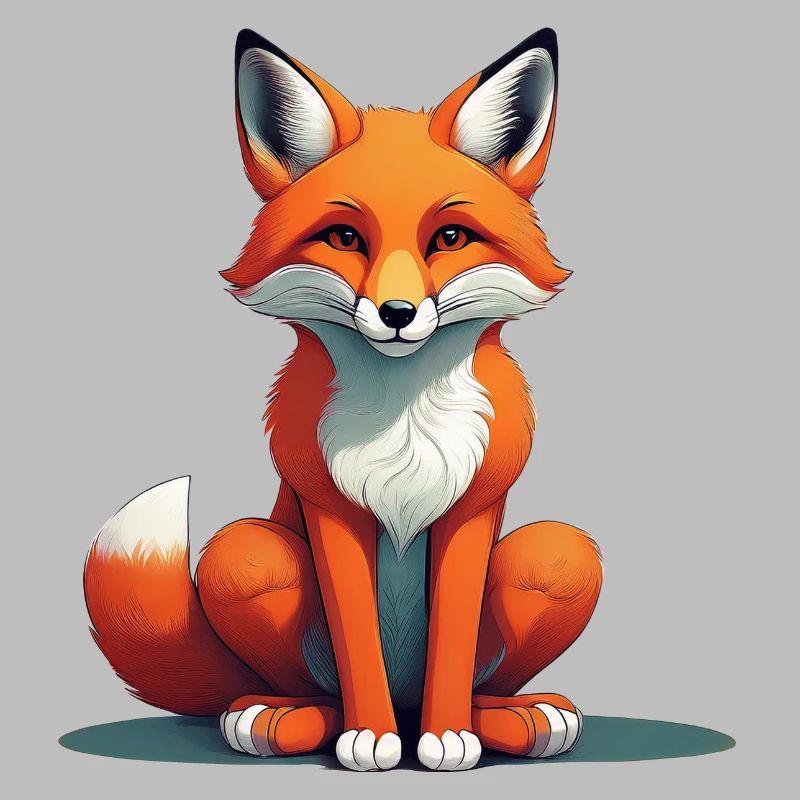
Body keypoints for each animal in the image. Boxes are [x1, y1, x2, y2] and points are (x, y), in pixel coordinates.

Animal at [84, 27, 602, 771]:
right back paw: (286, 717)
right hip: (246, 557)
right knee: (301, 686)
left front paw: (450, 736)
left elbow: (452, 640)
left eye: (449, 238)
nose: (397, 313)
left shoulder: (471, 509)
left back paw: (510, 717)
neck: (404, 418)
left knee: (493, 668)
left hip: (559, 558)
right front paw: (372, 738)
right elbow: (356, 636)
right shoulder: (330, 507)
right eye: (345, 238)